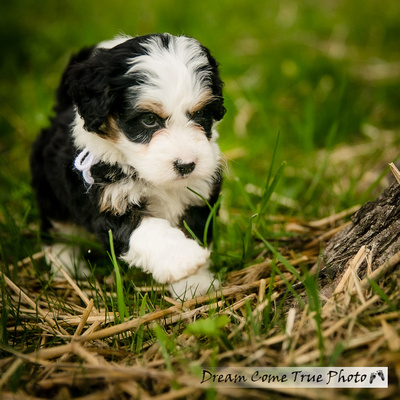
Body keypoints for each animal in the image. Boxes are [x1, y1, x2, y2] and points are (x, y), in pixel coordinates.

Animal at [30, 33, 225, 296]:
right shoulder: (109, 204)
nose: (186, 166)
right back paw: (66, 265)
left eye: (201, 114)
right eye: (149, 119)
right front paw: (183, 260)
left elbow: (194, 231)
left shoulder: (198, 196)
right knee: (57, 227)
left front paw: (194, 285)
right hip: (52, 192)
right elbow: (149, 230)